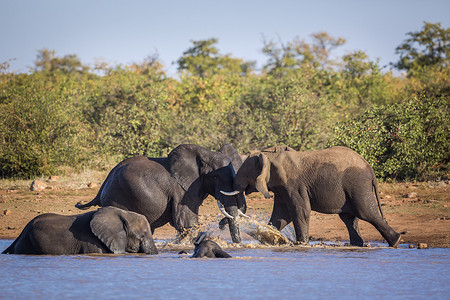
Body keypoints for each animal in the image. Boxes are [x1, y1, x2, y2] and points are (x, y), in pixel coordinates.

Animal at [75, 144, 248, 244]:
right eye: (215, 177)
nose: (220, 225)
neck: (205, 154)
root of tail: (104, 183)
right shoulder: (181, 190)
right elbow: (186, 222)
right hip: (117, 198)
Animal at [230, 146, 402, 247]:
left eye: (245, 173)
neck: (269, 155)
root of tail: (370, 169)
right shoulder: (281, 187)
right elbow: (281, 215)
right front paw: (269, 237)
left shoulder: (294, 185)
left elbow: (300, 211)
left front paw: (301, 244)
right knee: (349, 218)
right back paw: (356, 244)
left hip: (358, 185)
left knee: (366, 212)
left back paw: (396, 241)